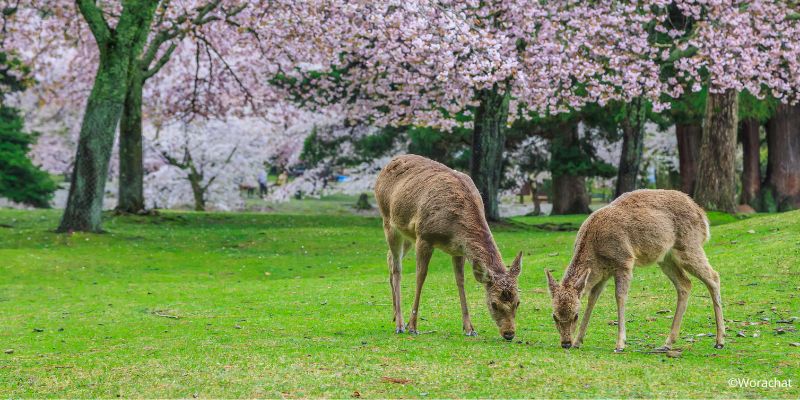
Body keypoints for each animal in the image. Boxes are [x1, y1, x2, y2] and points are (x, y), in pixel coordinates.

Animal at [376, 155, 524, 340]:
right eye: (494, 304)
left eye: (517, 302)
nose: (509, 333)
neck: (454, 230)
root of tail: (387, 165)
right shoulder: (424, 236)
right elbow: (420, 276)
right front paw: (413, 326)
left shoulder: (458, 250)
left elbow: (460, 281)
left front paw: (469, 328)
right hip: (388, 221)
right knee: (397, 268)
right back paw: (400, 324)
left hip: (407, 234)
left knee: (389, 258)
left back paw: (395, 315)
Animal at [544, 189, 724, 352]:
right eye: (554, 315)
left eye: (575, 315)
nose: (565, 343)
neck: (595, 251)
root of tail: (703, 216)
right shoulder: (602, 274)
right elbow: (592, 299)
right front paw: (578, 341)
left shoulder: (624, 261)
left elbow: (620, 297)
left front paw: (620, 344)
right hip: (665, 258)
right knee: (685, 284)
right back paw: (667, 343)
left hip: (689, 245)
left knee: (714, 276)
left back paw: (720, 341)